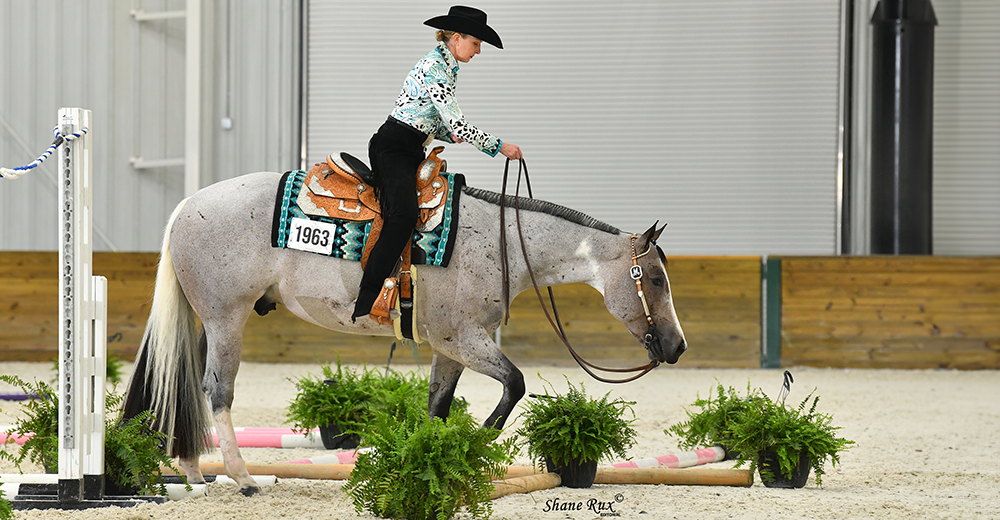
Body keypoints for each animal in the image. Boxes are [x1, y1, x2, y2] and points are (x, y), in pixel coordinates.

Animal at [121, 170, 684, 496]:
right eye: (656, 279)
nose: (677, 346)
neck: (498, 241)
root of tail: (188, 204)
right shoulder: (461, 338)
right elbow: (516, 384)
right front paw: (480, 442)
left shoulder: (450, 348)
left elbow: (438, 405)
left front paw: (434, 462)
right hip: (226, 319)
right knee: (217, 391)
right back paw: (242, 478)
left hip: (207, 322)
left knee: (188, 384)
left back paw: (194, 473)